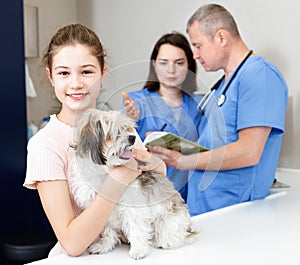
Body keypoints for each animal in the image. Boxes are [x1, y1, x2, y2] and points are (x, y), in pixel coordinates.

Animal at [69, 107, 198, 258]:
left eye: (127, 129)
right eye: (115, 132)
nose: (132, 137)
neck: (106, 173)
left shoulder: (133, 207)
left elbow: (136, 228)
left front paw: (138, 249)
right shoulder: (101, 210)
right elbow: (107, 231)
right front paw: (105, 246)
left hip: (167, 223)